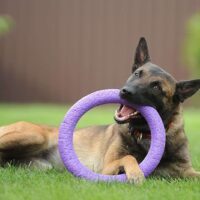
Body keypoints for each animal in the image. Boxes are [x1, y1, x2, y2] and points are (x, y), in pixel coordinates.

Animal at [0, 37, 200, 184]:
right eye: (137, 74)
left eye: (156, 87)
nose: (125, 92)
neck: (146, 135)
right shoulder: (107, 168)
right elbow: (129, 158)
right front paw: (136, 173)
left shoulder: (186, 171)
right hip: (34, 136)